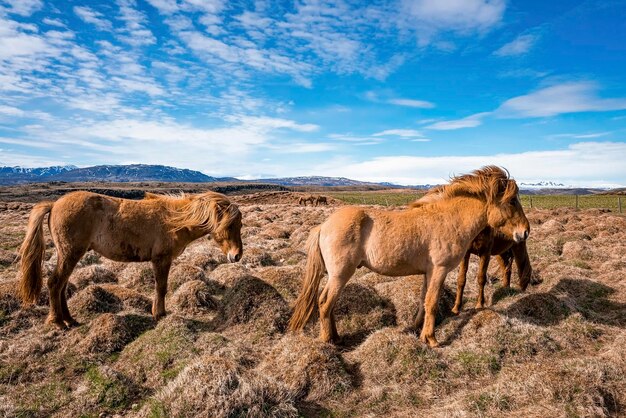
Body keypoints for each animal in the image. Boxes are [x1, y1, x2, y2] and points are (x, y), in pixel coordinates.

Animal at [18, 190, 243, 330]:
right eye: (230, 225)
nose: (237, 255)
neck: (175, 220)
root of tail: (55, 203)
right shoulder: (161, 260)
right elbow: (161, 287)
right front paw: (160, 314)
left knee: (62, 286)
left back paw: (70, 320)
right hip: (70, 254)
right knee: (55, 284)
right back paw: (58, 322)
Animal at [288, 166, 528, 346]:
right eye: (512, 201)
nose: (525, 232)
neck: (449, 220)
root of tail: (323, 225)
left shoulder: (428, 273)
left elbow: (423, 301)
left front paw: (417, 330)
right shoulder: (440, 270)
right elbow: (432, 303)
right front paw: (432, 339)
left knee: (328, 304)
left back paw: (336, 337)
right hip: (340, 275)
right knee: (325, 303)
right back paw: (329, 341)